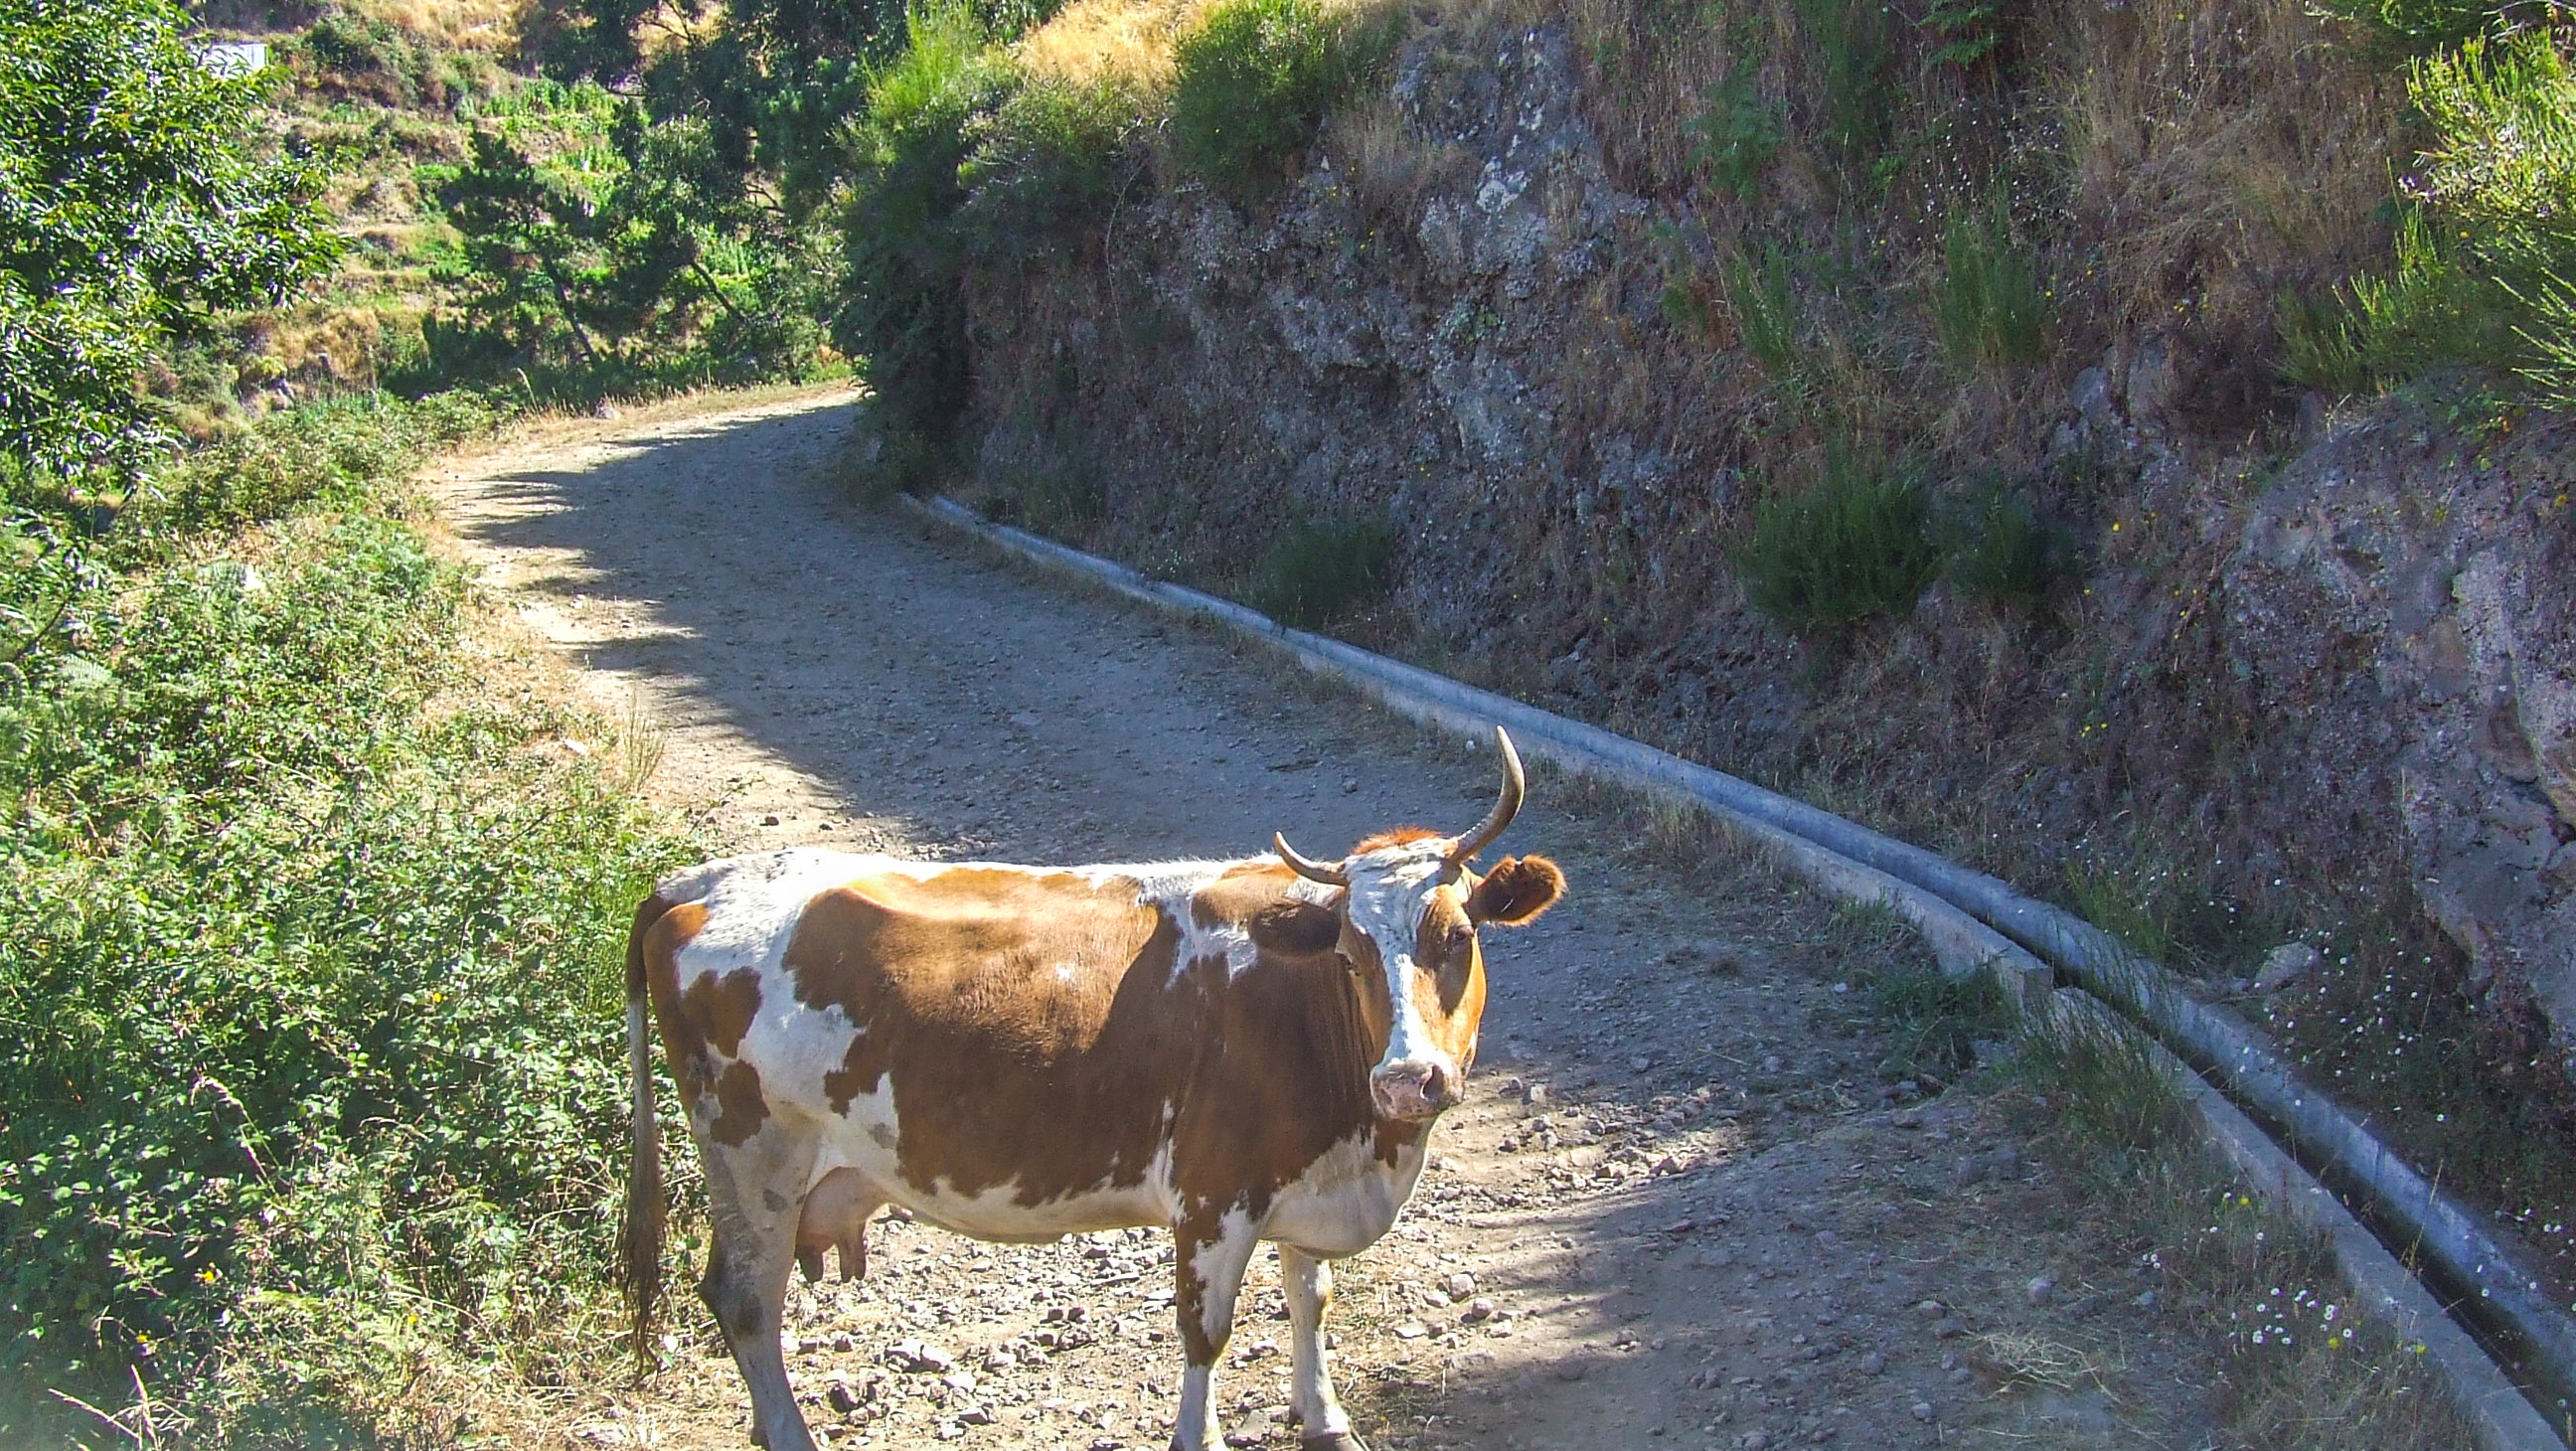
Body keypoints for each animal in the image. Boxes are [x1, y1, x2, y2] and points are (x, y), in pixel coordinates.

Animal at [620, 728, 1564, 1451]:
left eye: (1457, 936)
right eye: (1350, 955)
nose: (1406, 1080)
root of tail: (697, 880)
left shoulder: (1310, 1174)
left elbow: (1311, 1294)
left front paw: (1327, 1419)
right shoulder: (1212, 1195)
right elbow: (1204, 1333)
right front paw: (1201, 1437)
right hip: (753, 1161)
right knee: (746, 1302)